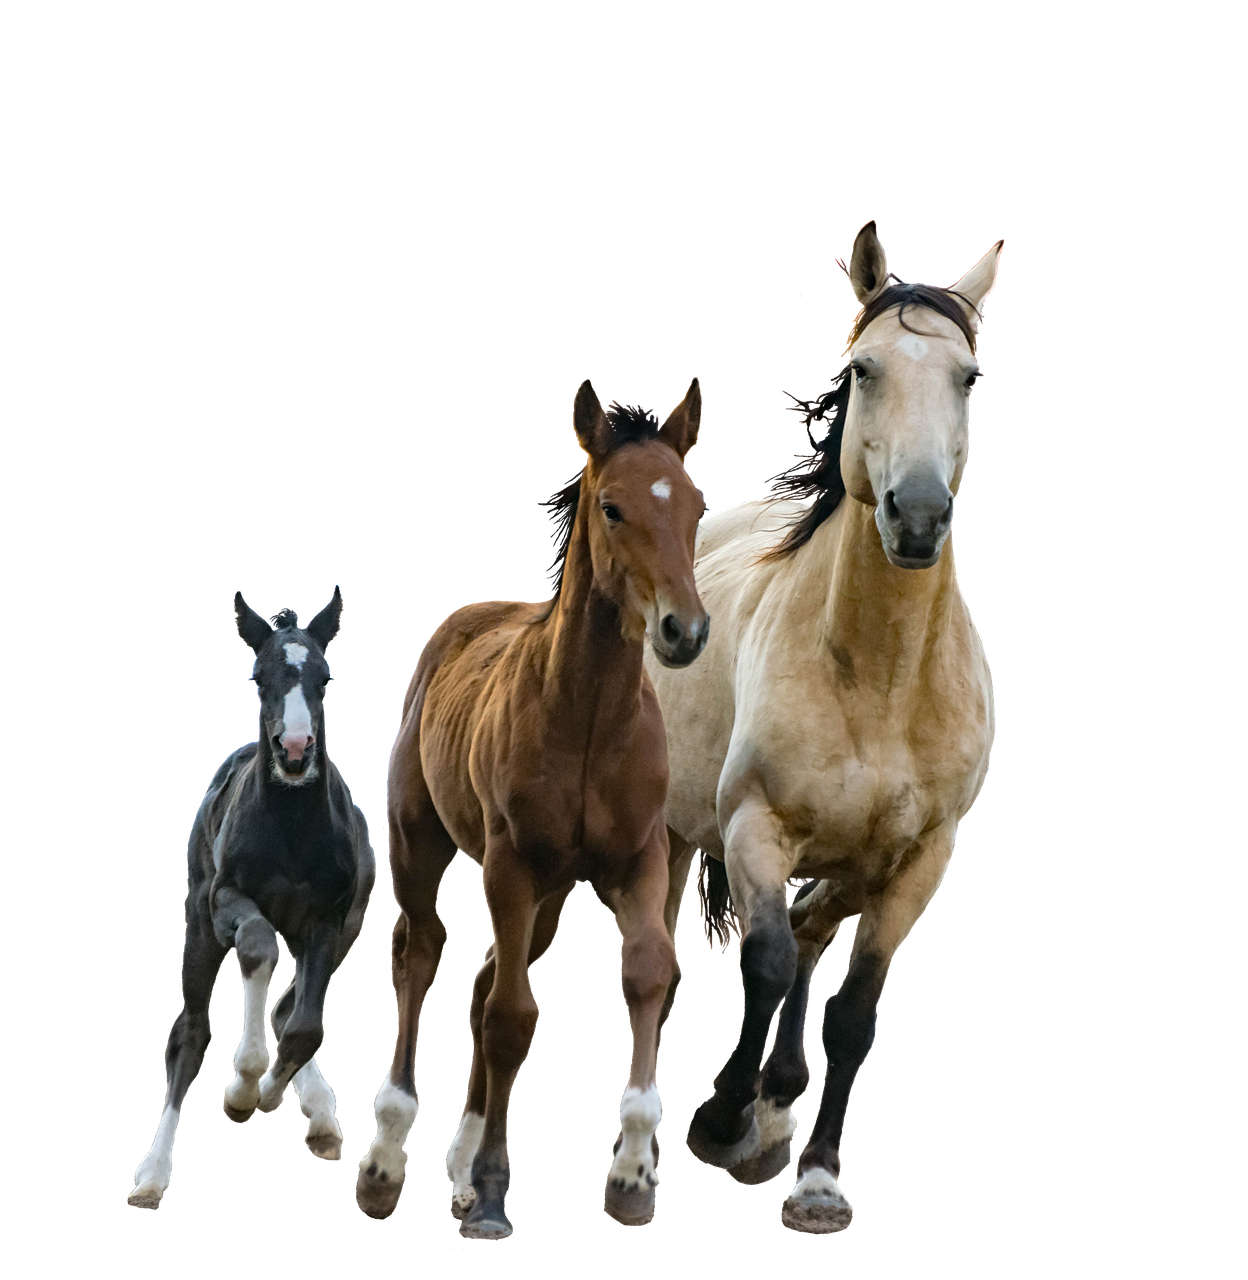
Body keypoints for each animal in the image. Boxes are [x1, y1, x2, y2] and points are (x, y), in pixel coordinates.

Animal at [127, 586, 377, 1211]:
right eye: (259, 677)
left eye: (324, 676)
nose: (295, 751)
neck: (291, 829)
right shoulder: (225, 901)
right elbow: (258, 947)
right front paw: (243, 1088)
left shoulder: (328, 920)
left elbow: (306, 1025)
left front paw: (269, 1092)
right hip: (198, 922)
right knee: (189, 1032)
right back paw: (152, 1175)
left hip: (346, 929)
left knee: (291, 1006)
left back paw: (320, 1117)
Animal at [354, 378, 710, 1239]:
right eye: (613, 508)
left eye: (692, 504)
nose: (684, 630)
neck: (587, 719)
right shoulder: (510, 865)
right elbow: (514, 1017)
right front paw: (488, 1189)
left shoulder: (639, 860)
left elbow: (648, 972)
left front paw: (633, 1176)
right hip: (424, 843)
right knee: (422, 951)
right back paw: (387, 1159)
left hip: (549, 896)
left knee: (484, 976)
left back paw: (454, 1160)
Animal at [643, 220, 1003, 1234]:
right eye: (866, 368)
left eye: (968, 377)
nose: (917, 517)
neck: (879, 679)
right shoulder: (754, 827)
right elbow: (763, 962)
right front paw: (722, 1123)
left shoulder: (919, 862)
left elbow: (855, 1011)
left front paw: (816, 1178)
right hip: (679, 835)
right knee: (701, 960)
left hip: (855, 860)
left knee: (812, 928)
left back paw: (779, 1101)